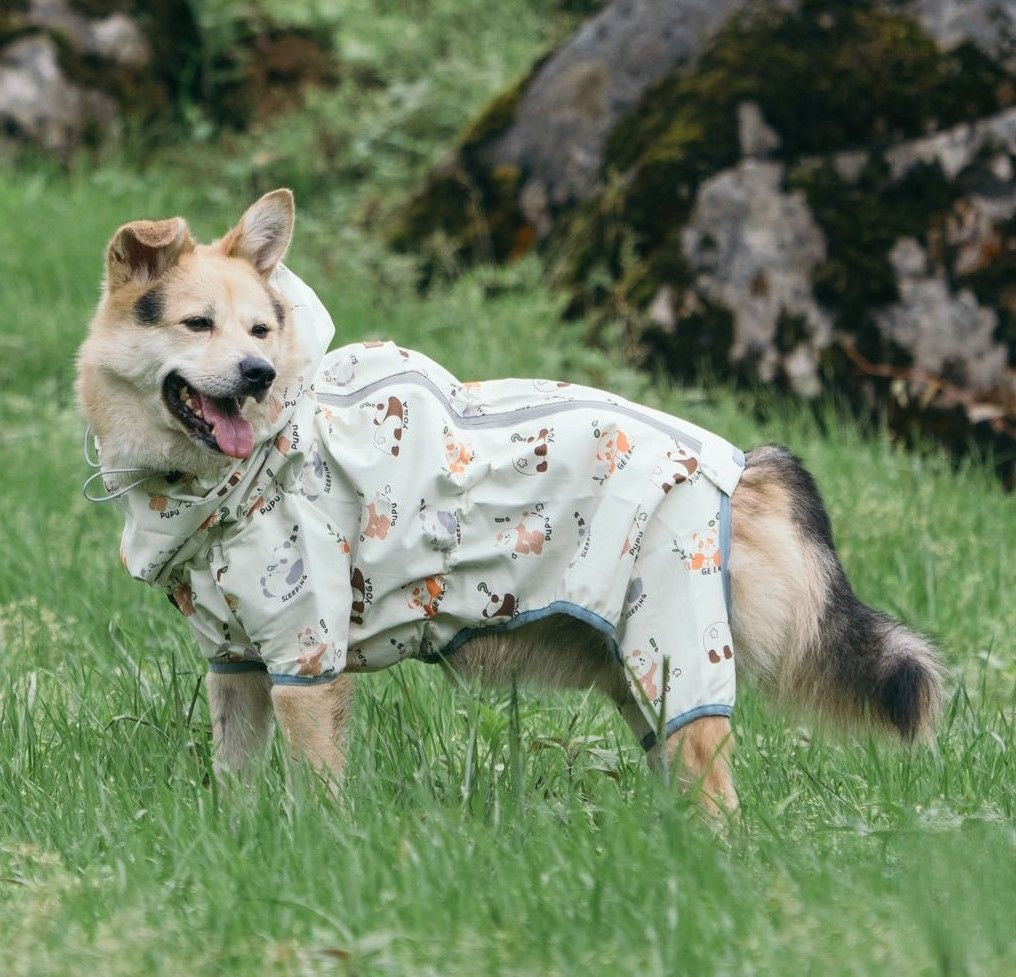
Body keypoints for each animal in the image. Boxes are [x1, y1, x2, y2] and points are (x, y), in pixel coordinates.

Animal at [77, 186, 942, 812]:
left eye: (260, 330)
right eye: (198, 324)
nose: (257, 374)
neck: (246, 473)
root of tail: (737, 462)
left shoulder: (307, 659)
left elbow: (315, 790)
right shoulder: (235, 662)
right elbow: (234, 783)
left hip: (676, 660)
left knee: (719, 803)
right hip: (641, 682)